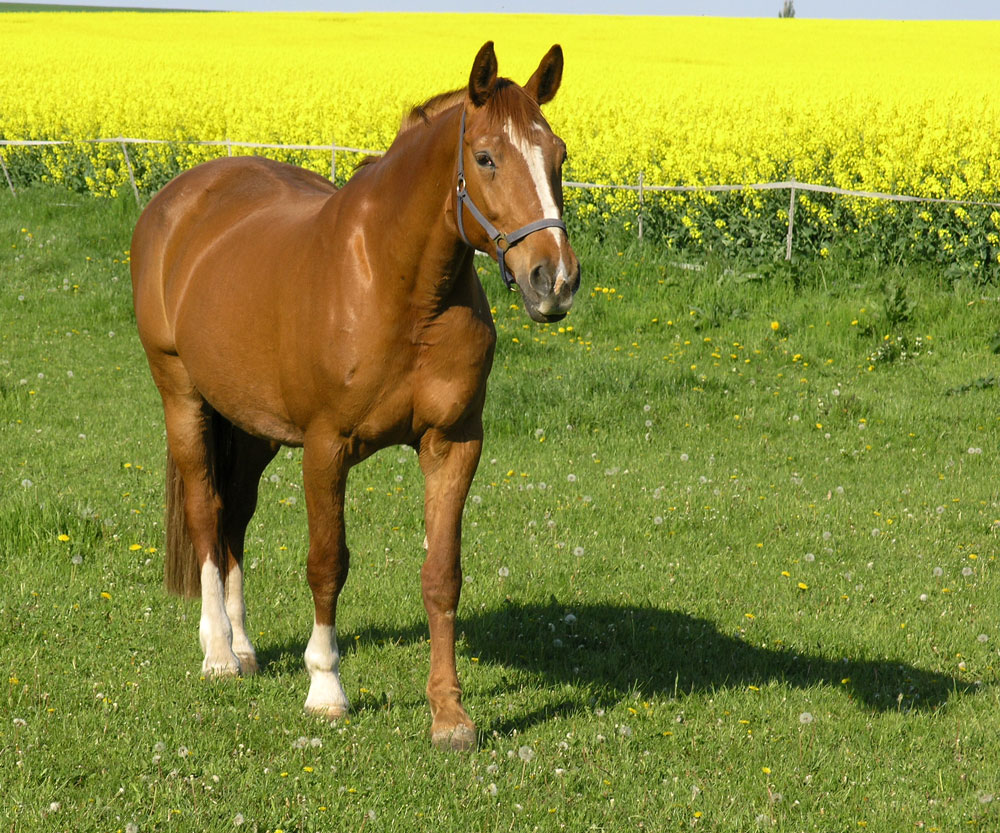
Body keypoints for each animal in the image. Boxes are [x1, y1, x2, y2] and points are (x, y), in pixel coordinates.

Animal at [132, 42, 584, 752]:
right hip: (183, 398)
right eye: (486, 157)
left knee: (234, 517)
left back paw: (245, 647)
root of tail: (180, 198)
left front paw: (450, 715)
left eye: (558, 155)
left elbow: (442, 575)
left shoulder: (453, 445)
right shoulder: (327, 448)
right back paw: (218, 654)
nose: (554, 280)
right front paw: (325, 689)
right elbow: (327, 563)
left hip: (253, 429)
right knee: (207, 512)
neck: (401, 289)